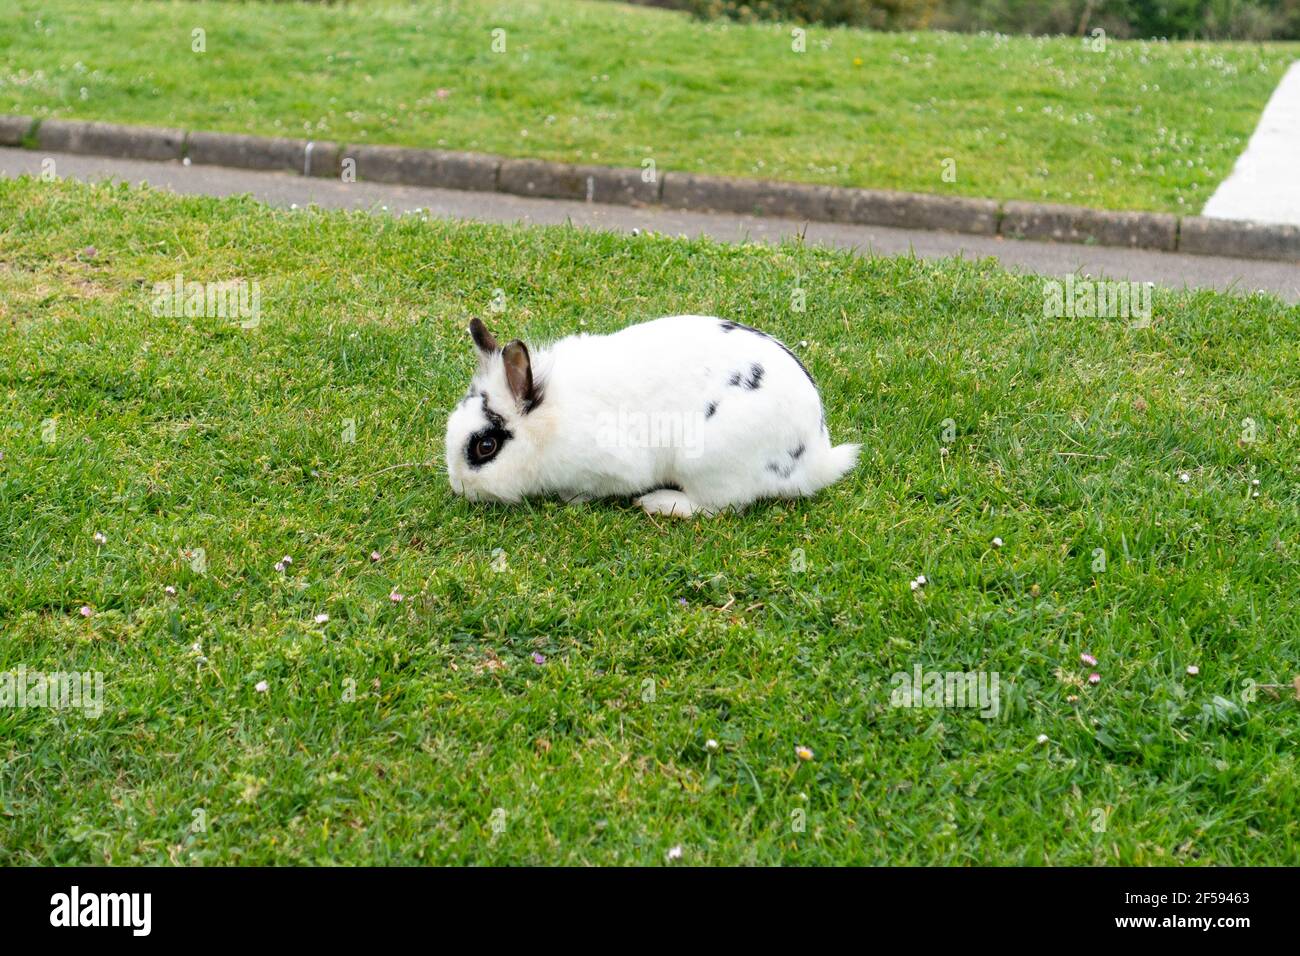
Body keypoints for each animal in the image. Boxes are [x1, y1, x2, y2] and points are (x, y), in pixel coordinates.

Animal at [444, 315, 860, 517]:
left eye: (485, 446)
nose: (460, 488)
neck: (549, 420)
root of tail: (815, 457)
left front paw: (572, 499)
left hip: (707, 463)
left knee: (718, 507)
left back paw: (658, 504)